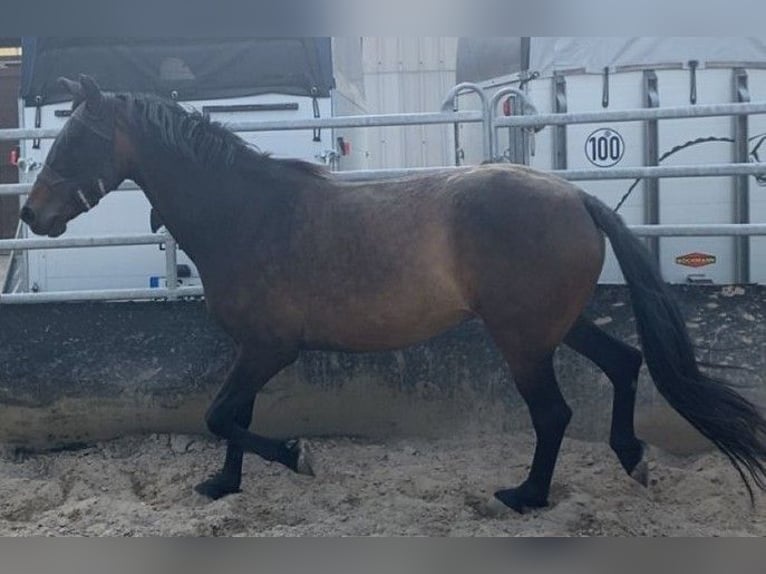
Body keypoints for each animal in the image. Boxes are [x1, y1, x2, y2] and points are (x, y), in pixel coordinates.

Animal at [19, 75, 766, 514]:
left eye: (75, 139)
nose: (31, 214)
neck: (245, 213)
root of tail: (575, 198)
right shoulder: (252, 350)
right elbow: (232, 416)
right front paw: (224, 485)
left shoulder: (270, 349)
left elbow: (220, 415)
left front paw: (297, 457)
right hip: (559, 324)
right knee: (625, 364)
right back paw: (633, 460)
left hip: (523, 339)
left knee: (553, 413)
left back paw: (525, 495)